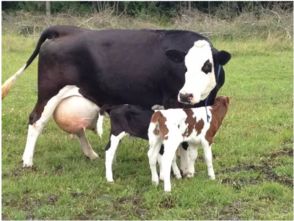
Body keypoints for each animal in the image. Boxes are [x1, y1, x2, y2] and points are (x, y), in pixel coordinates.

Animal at [2, 25, 232, 167]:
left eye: (207, 66)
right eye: (183, 66)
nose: (186, 95)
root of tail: (69, 30)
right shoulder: (172, 103)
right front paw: (182, 169)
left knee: (77, 128)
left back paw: (91, 154)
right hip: (49, 93)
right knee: (36, 121)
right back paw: (27, 161)